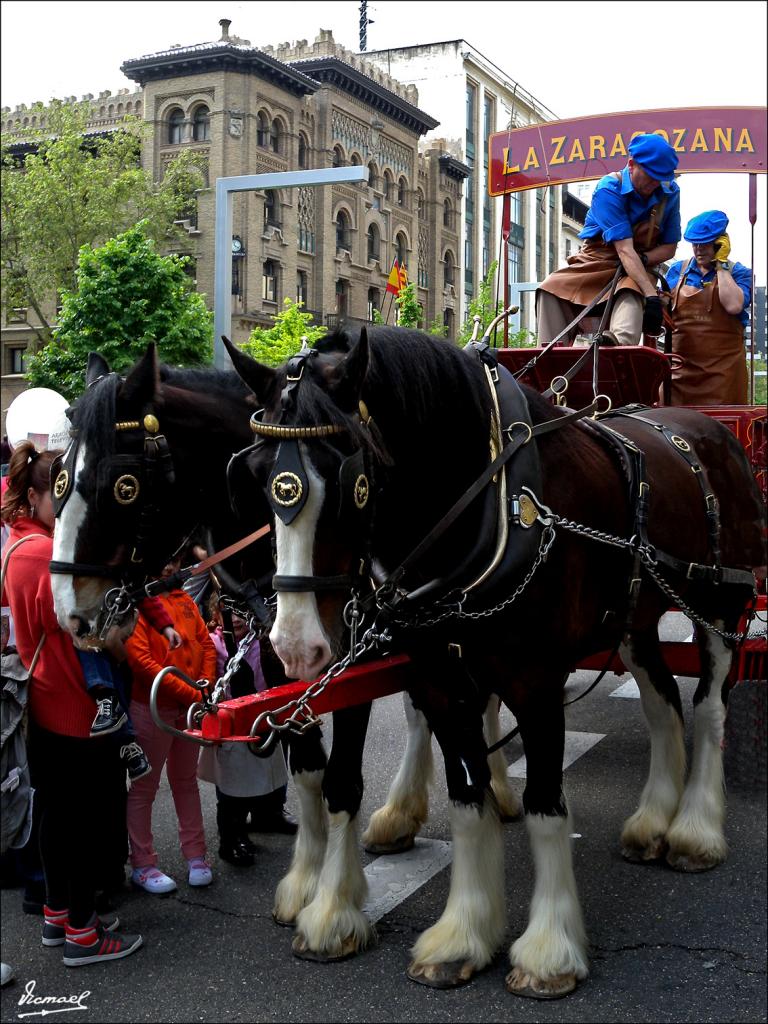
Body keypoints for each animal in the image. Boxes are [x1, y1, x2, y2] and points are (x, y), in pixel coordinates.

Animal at [222, 327, 765, 999]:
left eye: (351, 476)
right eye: (252, 476)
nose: (295, 644)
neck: (490, 505)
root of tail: (712, 429)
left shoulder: (534, 681)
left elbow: (545, 805)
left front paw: (549, 949)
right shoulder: (440, 675)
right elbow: (465, 797)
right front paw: (463, 934)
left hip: (718, 604)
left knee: (709, 706)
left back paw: (694, 829)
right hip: (636, 616)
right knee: (662, 701)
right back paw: (652, 822)